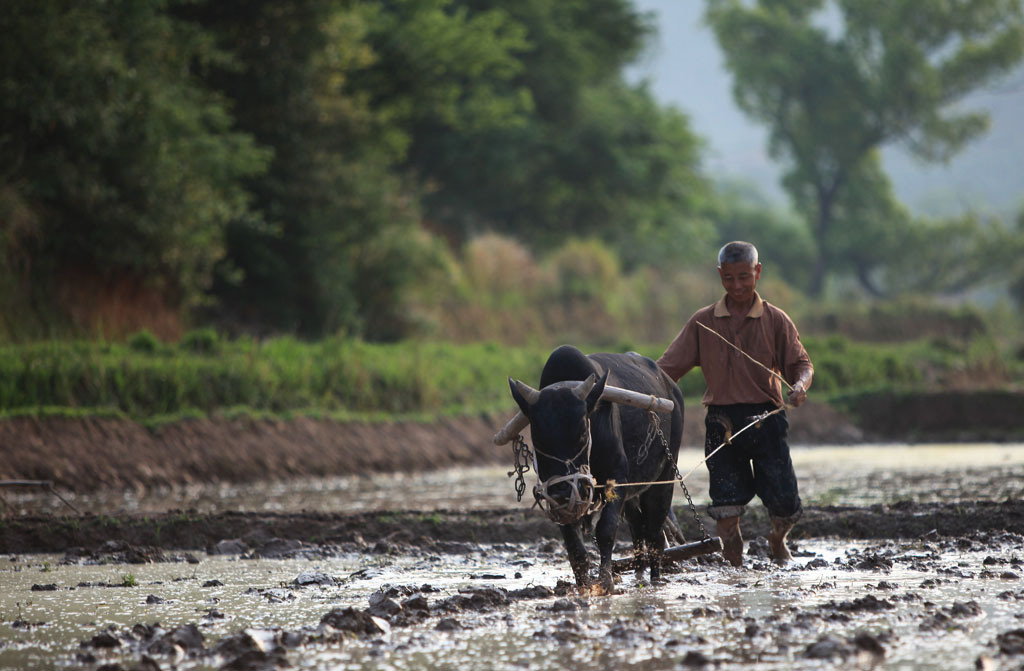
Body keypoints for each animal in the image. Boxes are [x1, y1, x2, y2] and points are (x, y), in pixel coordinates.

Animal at [507, 346, 684, 594]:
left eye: (582, 433)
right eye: (538, 438)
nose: (563, 492)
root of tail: (672, 388)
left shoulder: (617, 477)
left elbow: (606, 530)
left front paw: (606, 582)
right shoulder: (560, 497)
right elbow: (575, 546)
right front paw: (583, 585)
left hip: (663, 478)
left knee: (654, 534)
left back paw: (655, 580)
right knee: (639, 529)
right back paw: (640, 573)